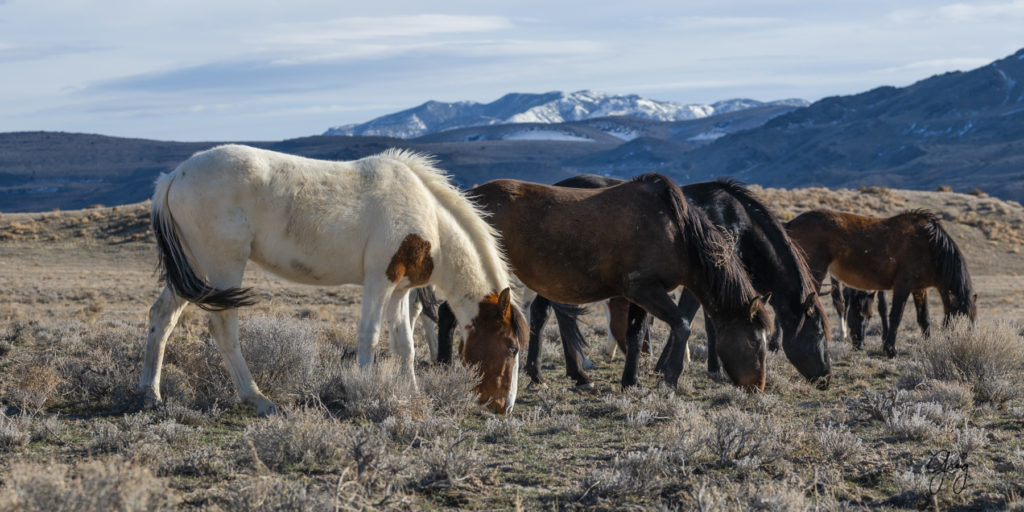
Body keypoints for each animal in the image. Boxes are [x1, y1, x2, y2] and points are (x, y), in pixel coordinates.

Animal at [136, 145, 528, 415]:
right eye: (511, 348)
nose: (504, 407)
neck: (428, 215)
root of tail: (173, 177)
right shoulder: (379, 281)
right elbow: (369, 336)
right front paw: (364, 392)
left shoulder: (400, 290)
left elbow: (405, 344)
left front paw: (412, 394)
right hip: (222, 268)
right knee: (223, 327)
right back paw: (257, 398)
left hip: (193, 270)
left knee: (161, 317)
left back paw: (150, 394)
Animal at [436, 174, 770, 389]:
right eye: (755, 341)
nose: (758, 386)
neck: (676, 230)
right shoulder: (645, 290)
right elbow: (682, 326)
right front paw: (669, 379)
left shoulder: (640, 295)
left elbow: (636, 335)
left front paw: (630, 380)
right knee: (447, 316)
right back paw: (445, 368)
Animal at [528, 176, 831, 387]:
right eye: (817, 333)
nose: (826, 378)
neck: (735, 221)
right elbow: (689, 317)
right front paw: (665, 368)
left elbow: (708, 323)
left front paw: (712, 368)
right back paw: (572, 373)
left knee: (542, 312)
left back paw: (558, 373)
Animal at [782, 209, 974, 358]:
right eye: (962, 319)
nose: (963, 347)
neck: (930, 244)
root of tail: (790, 224)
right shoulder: (903, 285)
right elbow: (896, 316)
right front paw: (890, 350)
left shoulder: (919, 289)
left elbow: (924, 318)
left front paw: (927, 345)